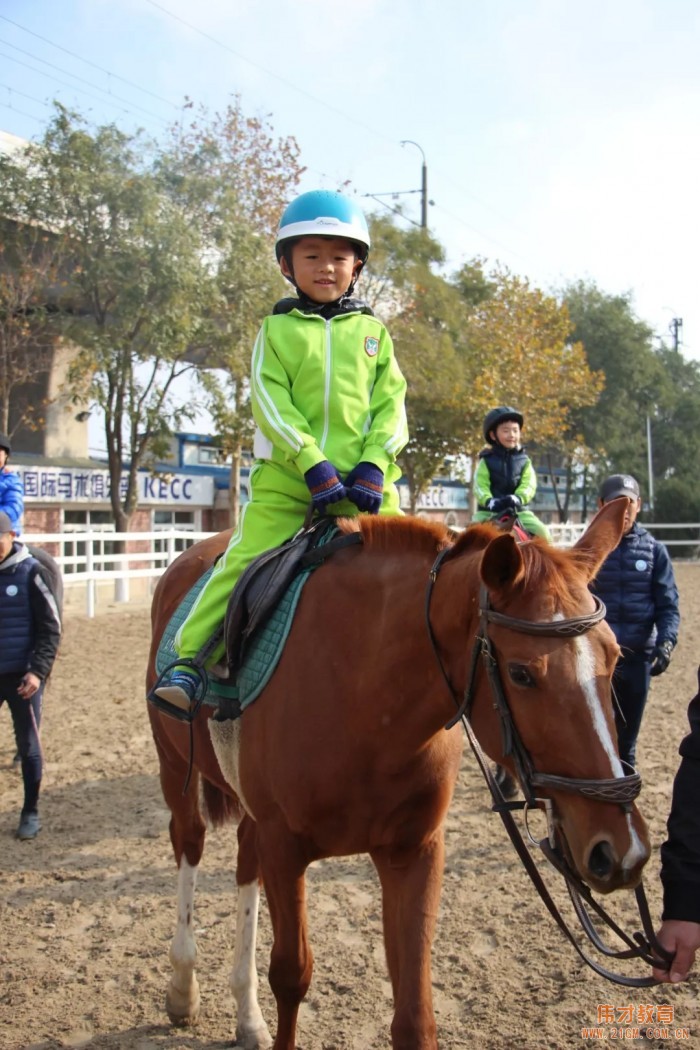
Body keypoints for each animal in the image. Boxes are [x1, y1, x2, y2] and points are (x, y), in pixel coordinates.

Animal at [147, 499, 650, 1050]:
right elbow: (291, 974)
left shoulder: (415, 851)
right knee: (189, 842)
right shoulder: (284, 847)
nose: (620, 849)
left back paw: (247, 1012)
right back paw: (182, 988)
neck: (365, 697)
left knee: (243, 862)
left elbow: (413, 1014)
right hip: (175, 768)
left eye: (615, 656)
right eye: (521, 673)